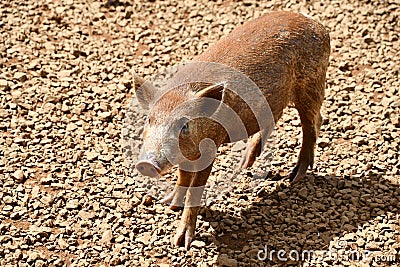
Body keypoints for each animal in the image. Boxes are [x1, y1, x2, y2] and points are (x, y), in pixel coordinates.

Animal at [133, 10, 330, 249]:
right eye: (149, 119)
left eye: (185, 125)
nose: (146, 163)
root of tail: (318, 25)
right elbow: (182, 177)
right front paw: (168, 204)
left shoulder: (210, 148)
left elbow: (195, 189)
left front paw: (180, 242)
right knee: (277, 120)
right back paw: (246, 164)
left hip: (312, 85)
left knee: (313, 122)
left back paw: (295, 176)